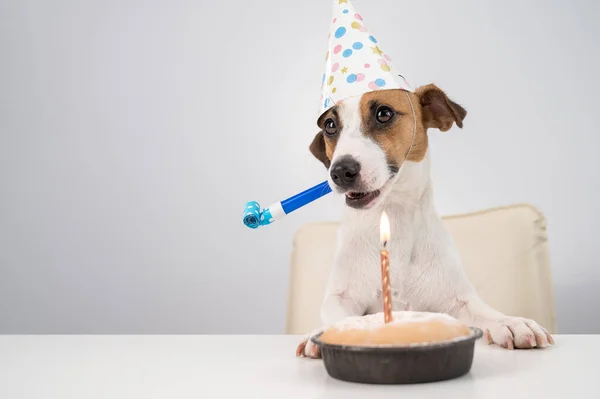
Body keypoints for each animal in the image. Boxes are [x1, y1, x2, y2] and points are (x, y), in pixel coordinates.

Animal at [298, 84, 556, 360]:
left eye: (384, 113)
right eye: (330, 125)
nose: (340, 171)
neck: (393, 217)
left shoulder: (457, 299)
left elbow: (483, 310)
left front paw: (511, 322)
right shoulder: (340, 297)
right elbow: (339, 314)